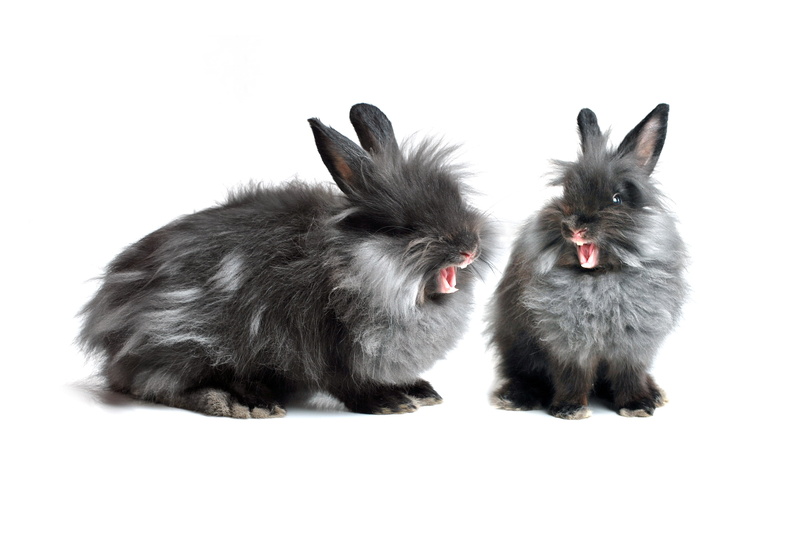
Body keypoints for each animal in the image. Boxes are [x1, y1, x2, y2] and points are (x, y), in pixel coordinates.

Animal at [78, 103, 494, 418]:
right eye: (403, 227)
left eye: (457, 200)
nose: (470, 247)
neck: (351, 266)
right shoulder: (324, 342)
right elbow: (348, 382)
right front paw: (389, 402)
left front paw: (420, 391)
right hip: (177, 337)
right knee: (157, 384)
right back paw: (244, 402)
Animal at [488, 104, 687, 419]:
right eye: (567, 192)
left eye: (617, 199)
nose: (572, 226)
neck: (598, 279)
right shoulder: (567, 345)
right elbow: (572, 376)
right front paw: (570, 409)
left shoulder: (633, 346)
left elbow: (630, 375)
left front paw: (637, 405)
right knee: (524, 375)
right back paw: (515, 398)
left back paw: (655, 394)